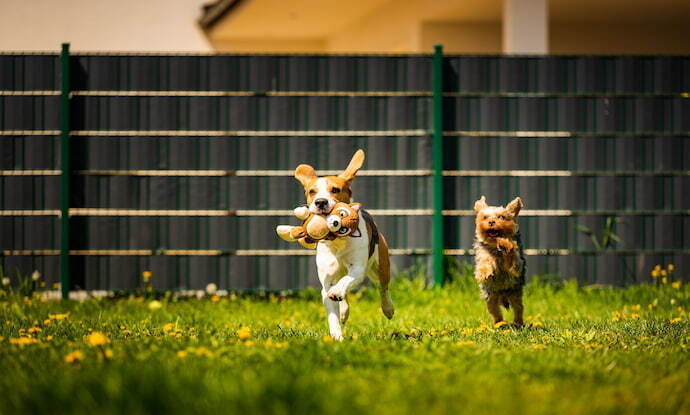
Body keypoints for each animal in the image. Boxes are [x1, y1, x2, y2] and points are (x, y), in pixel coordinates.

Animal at [294, 150, 396, 342]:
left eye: (335, 190)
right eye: (312, 191)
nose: (320, 202)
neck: (336, 240)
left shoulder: (358, 269)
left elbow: (345, 282)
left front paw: (338, 292)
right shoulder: (326, 282)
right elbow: (332, 307)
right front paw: (337, 337)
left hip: (381, 266)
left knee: (383, 288)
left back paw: (388, 308)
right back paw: (343, 311)